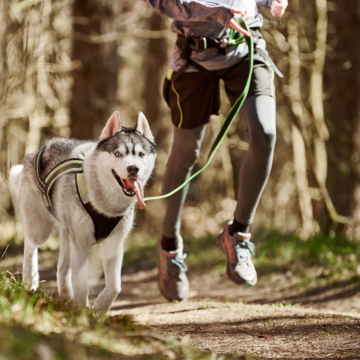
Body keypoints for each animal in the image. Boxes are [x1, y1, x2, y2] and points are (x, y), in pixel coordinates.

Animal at [8, 112, 157, 312]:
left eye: (141, 154)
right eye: (118, 154)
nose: (133, 169)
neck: (105, 204)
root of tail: (40, 148)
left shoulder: (114, 243)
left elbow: (115, 286)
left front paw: (99, 308)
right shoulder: (81, 245)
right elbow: (82, 284)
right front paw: (82, 312)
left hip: (68, 235)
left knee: (61, 268)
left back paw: (66, 299)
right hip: (41, 230)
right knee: (30, 247)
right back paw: (30, 283)